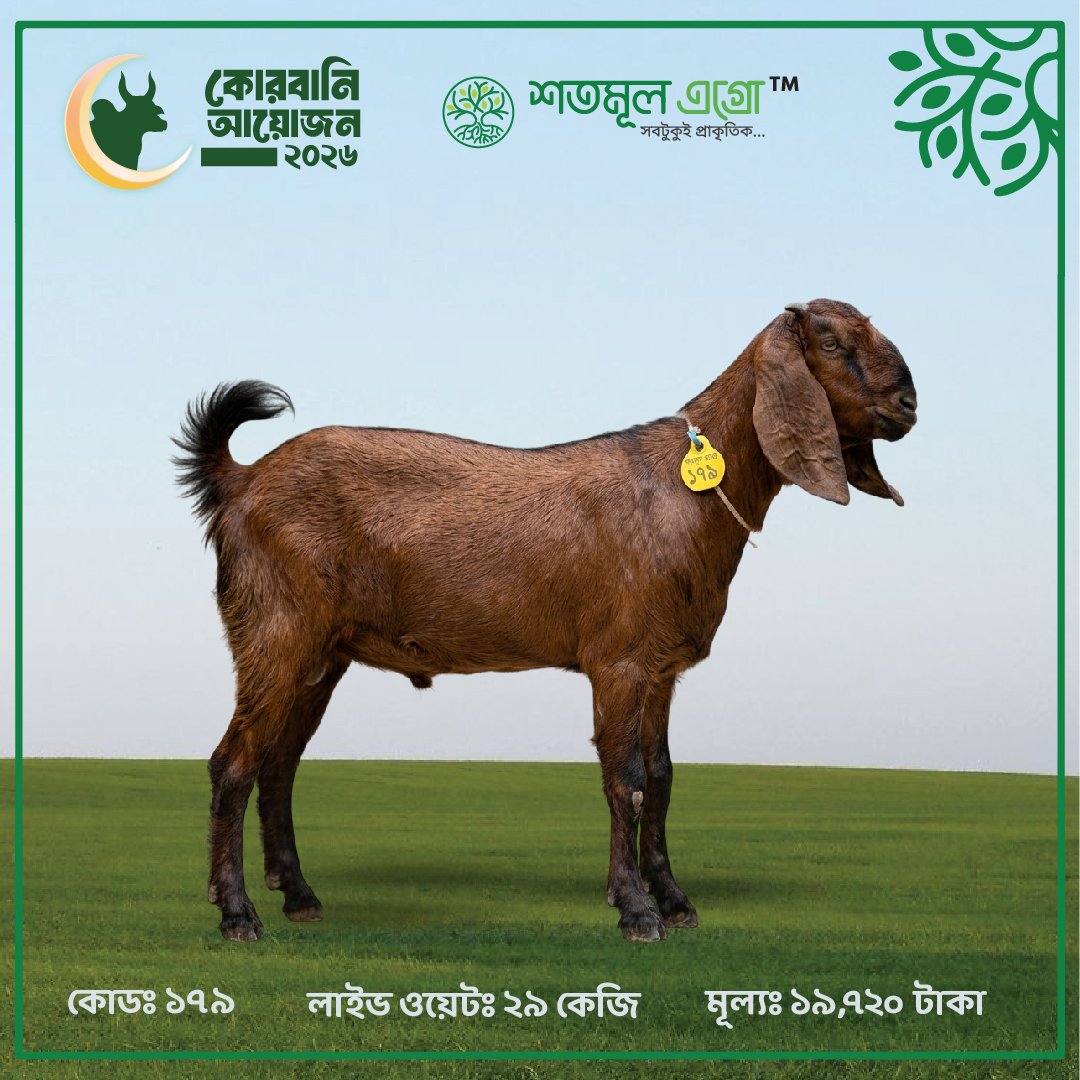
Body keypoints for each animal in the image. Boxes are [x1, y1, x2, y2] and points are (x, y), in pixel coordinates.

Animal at [175, 299, 917, 943]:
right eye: (831, 342)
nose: (908, 404)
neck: (685, 491)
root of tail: (241, 480)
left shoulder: (661, 668)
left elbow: (664, 776)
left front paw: (675, 901)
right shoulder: (618, 660)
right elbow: (628, 779)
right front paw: (637, 910)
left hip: (321, 655)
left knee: (279, 763)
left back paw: (298, 896)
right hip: (276, 632)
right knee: (233, 763)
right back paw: (238, 914)